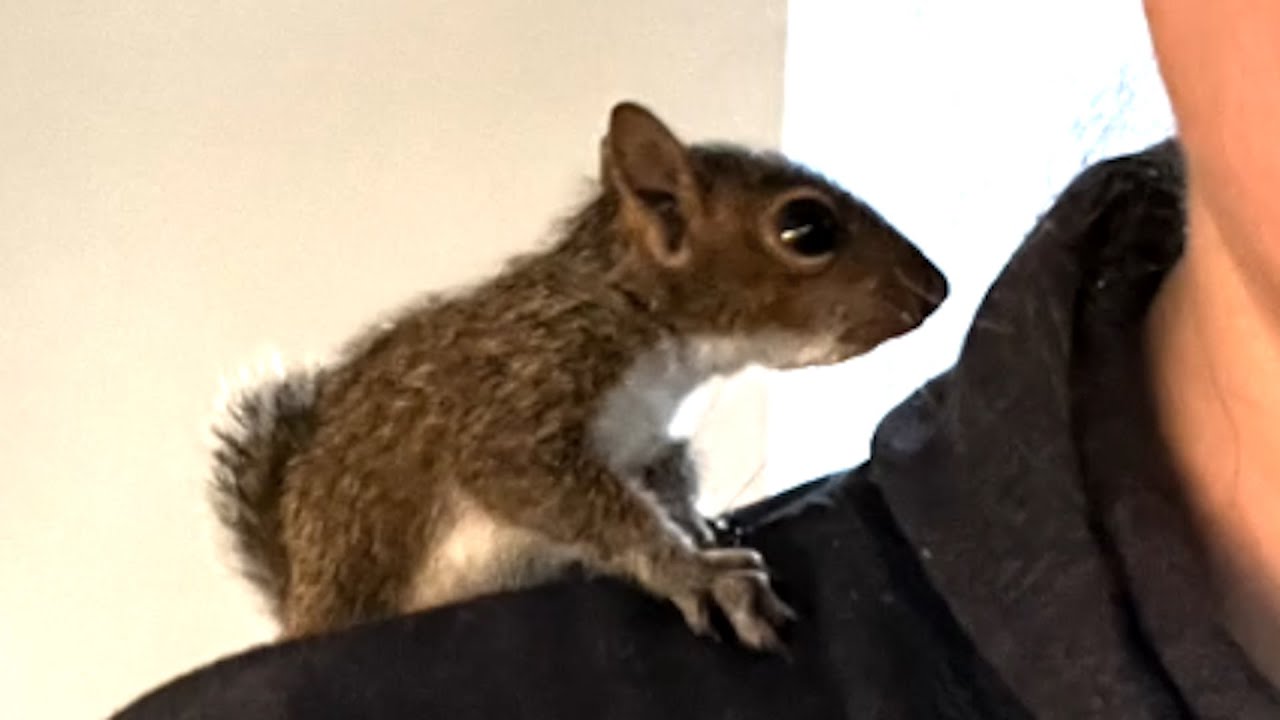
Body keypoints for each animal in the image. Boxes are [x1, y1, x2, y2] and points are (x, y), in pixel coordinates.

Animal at [209, 100, 948, 652]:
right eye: (805, 227)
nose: (937, 289)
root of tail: (302, 601)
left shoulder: (652, 441)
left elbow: (665, 484)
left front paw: (700, 526)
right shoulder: (527, 385)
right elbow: (541, 482)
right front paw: (697, 572)